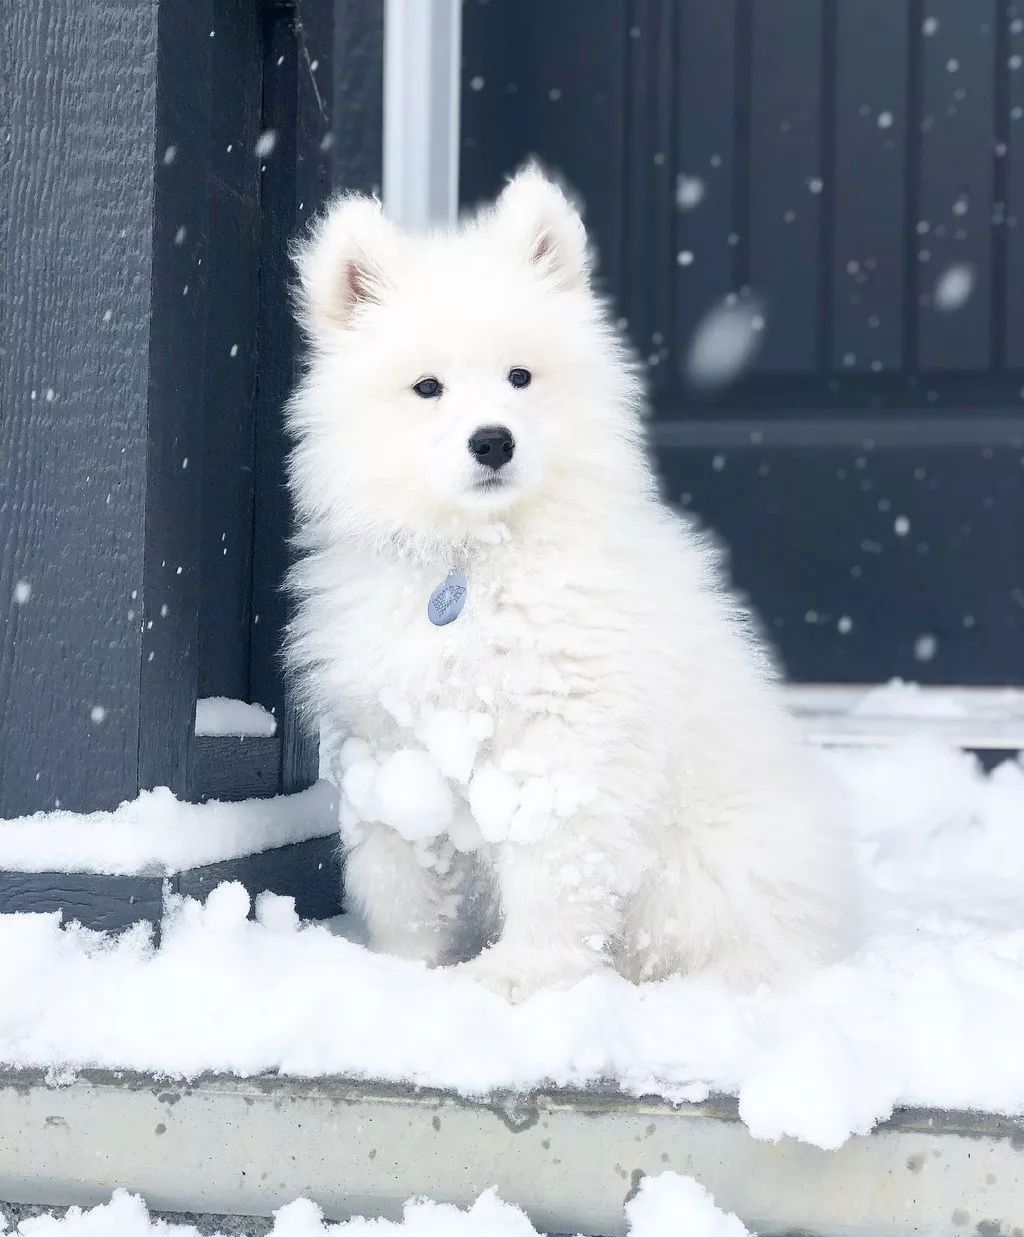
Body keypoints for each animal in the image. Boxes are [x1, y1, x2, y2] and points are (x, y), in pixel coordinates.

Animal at [284, 164, 850, 999]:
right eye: (428, 388)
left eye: (520, 376)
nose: (493, 441)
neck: (478, 559)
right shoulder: (392, 741)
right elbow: (399, 873)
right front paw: (402, 969)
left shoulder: (567, 738)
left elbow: (554, 867)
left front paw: (516, 975)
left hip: (710, 870)